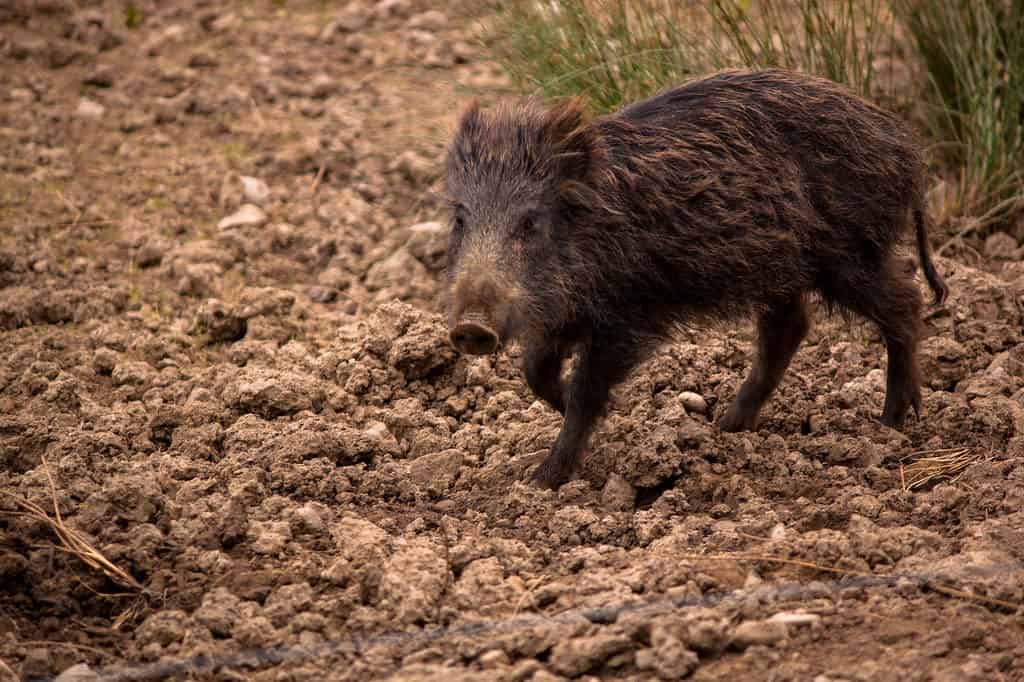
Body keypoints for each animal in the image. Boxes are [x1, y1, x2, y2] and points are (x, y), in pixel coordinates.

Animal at [443, 68, 948, 489]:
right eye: (461, 219)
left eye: (530, 222)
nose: (470, 328)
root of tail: (909, 149)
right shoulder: (565, 315)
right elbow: (536, 372)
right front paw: (597, 419)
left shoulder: (628, 314)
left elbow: (586, 391)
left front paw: (541, 480)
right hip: (781, 267)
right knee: (788, 329)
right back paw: (726, 427)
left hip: (848, 255)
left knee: (905, 301)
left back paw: (889, 423)